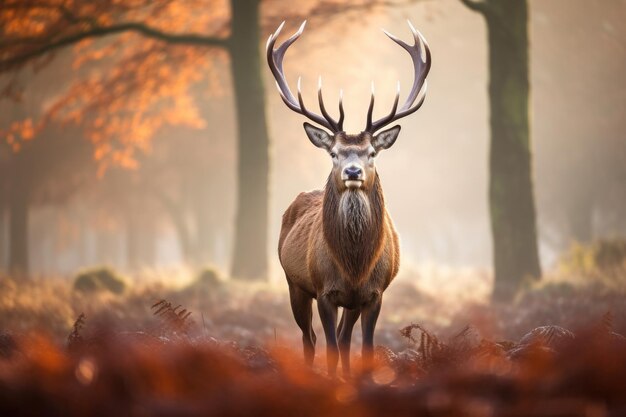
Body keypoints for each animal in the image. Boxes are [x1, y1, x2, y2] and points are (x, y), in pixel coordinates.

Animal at [266, 20, 432, 376]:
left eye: (371, 152)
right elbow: (328, 346)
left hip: (348, 302)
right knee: (310, 338)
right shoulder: (324, 291)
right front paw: (332, 381)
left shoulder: (373, 294)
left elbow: (361, 346)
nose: (352, 171)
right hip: (294, 283)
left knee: (343, 337)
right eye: (333, 153)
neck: (354, 265)